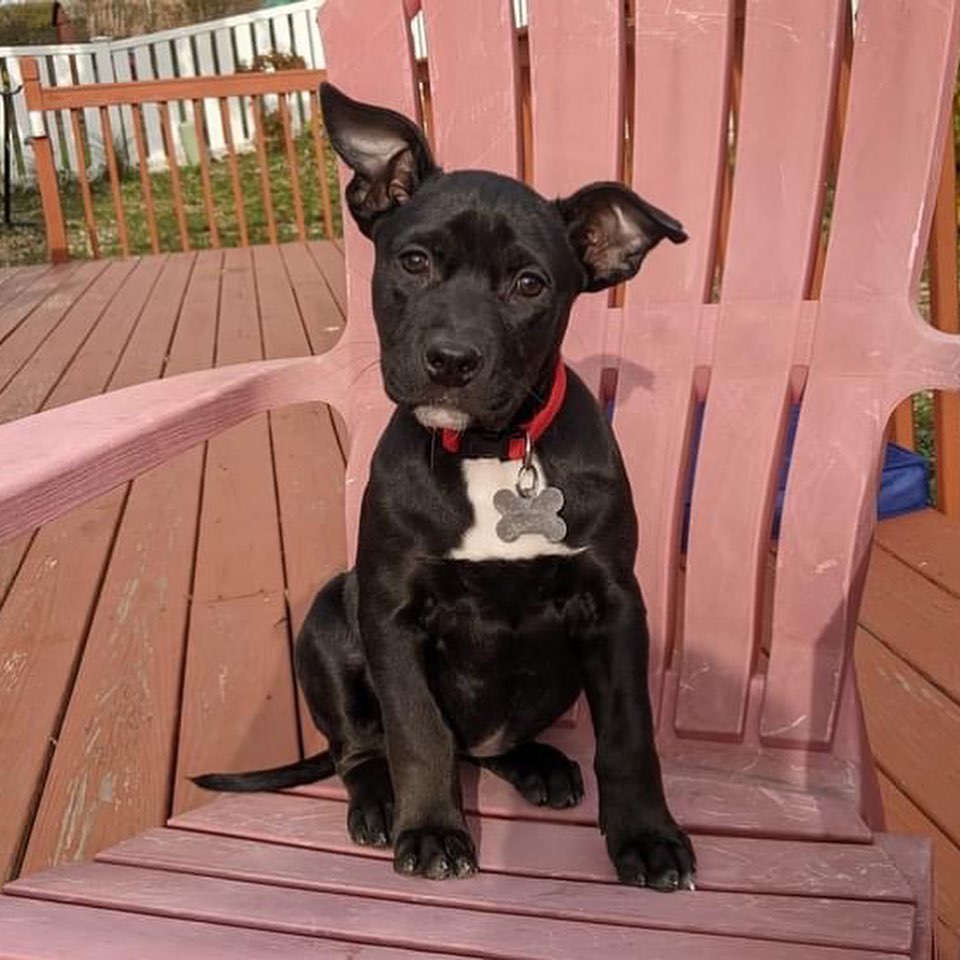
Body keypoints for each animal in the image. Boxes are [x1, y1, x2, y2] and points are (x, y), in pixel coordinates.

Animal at [195, 82, 692, 892]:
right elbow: (416, 731)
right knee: (360, 747)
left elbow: (629, 734)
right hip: (329, 617)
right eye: (415, 261)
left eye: (530, 284)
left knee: (486, 745)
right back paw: (377, 801)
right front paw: (430, 829)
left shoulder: (614, 605)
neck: (491, 449)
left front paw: (647, 836)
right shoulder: (392, 611)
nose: (452, 360)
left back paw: (535, 762)